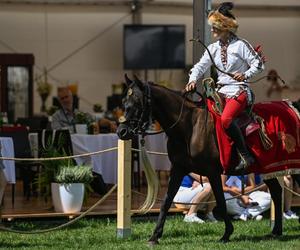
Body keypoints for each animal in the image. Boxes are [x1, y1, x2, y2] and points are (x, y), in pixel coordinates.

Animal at [116, 74, 286, 244]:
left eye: (137, 102)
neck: (189, 128)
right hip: (266, 168)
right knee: (276, 191)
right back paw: (276, 230)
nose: (121, 131)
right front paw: (154, 236)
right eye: (124, 102)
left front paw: (227, 234)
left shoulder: (213, 172)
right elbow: (166, 201)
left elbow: (221, 201)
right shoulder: (178, 169)